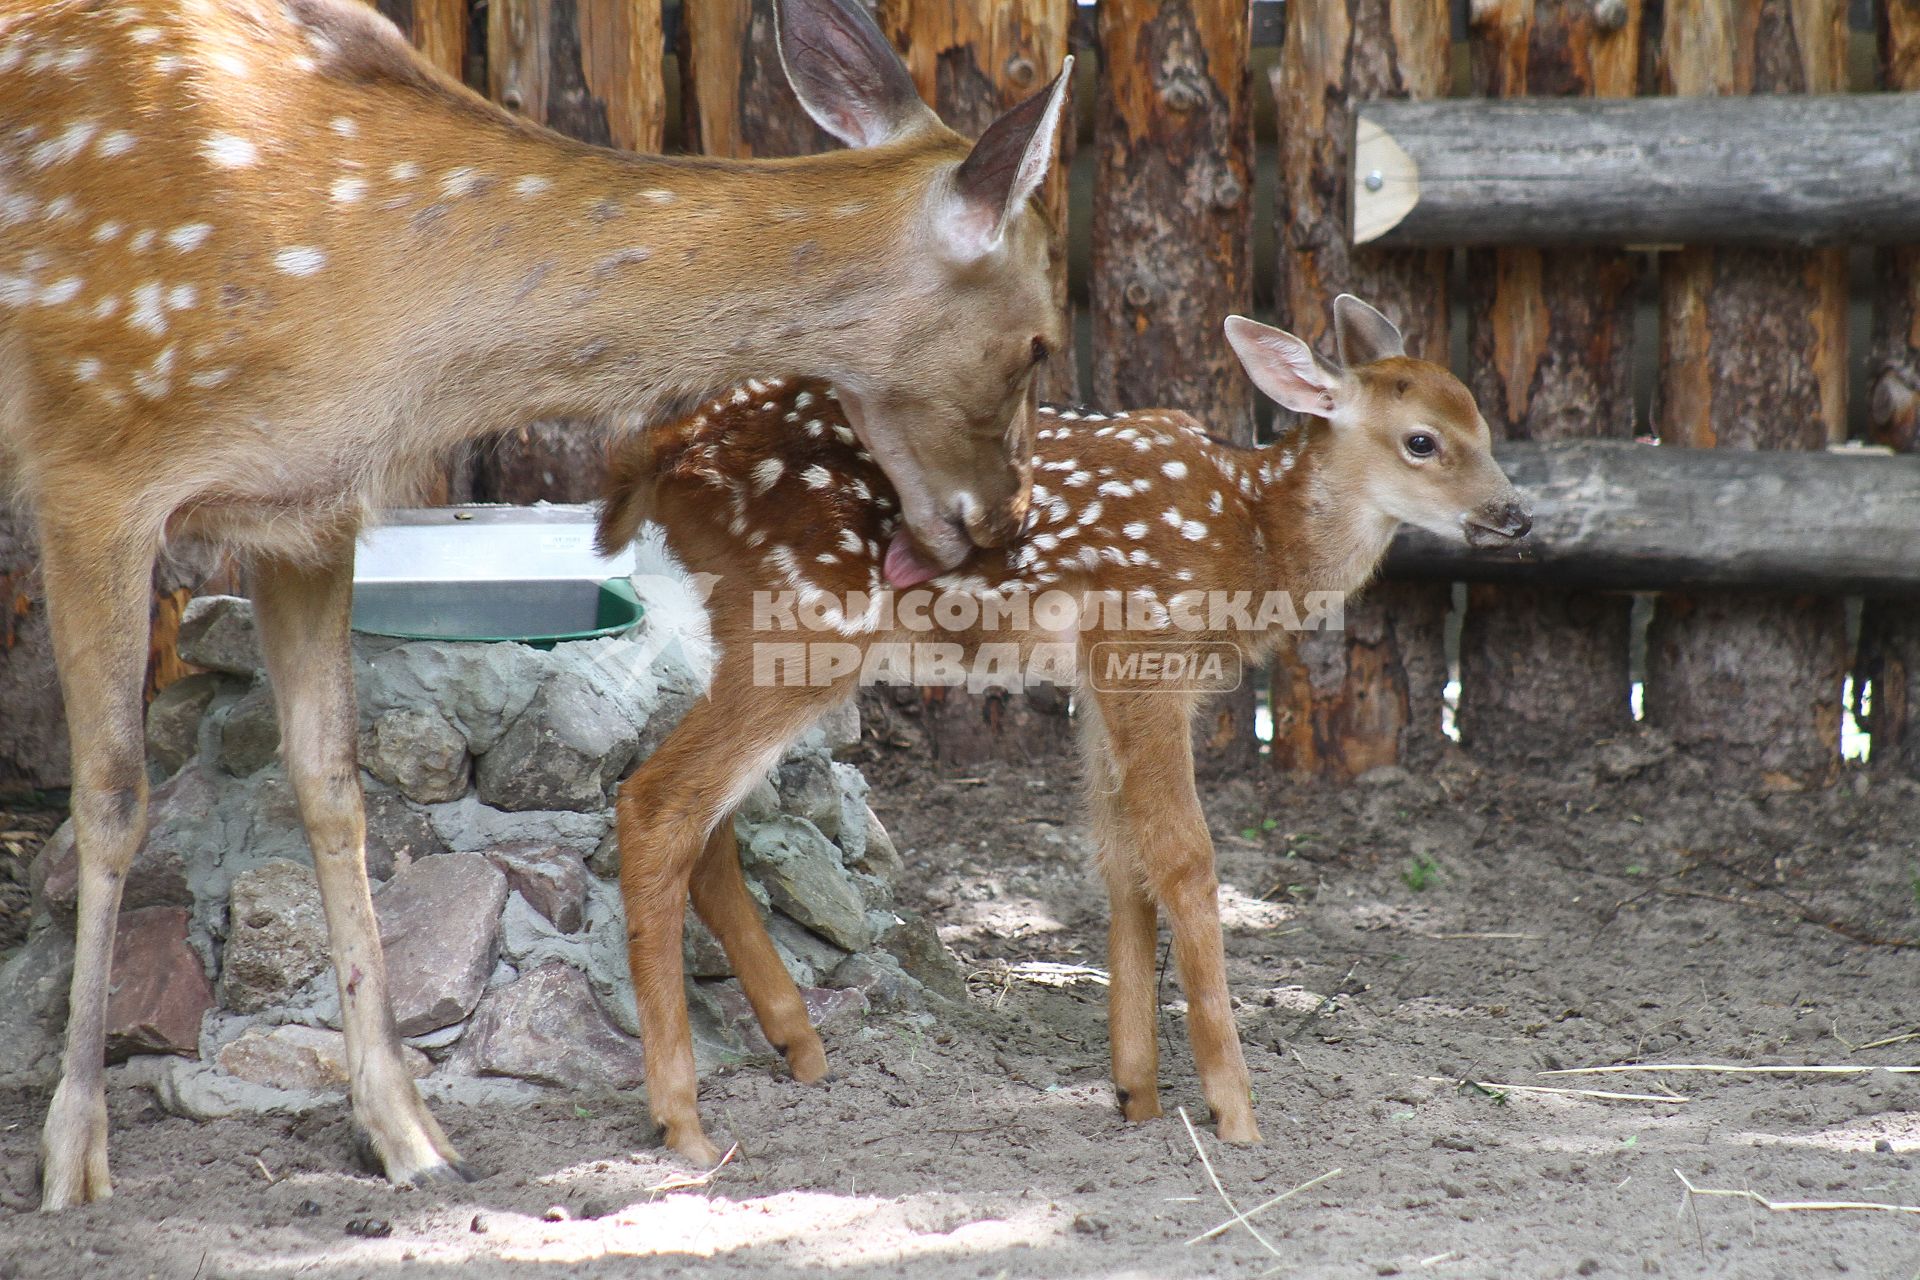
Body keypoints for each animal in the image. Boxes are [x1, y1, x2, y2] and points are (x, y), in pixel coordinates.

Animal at [0, 0, 1075, 1212]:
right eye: (1038, 338)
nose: (1003, 522)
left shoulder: (309, 509)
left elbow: (333, 785)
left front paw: (408, 1133)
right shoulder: (92, 462)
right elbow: (111, 796)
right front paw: (72, 1154)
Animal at [599, 297, 1528, 1159]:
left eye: (1485, 426)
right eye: (1421, 441)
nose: (1515, 516)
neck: (1253, 540)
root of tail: (666, 453)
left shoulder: (1098, 675)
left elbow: (1120, 860)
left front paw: (1136, 1095)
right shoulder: (1144, 646)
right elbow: (1184, 856)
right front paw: (1233, 1112)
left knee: (706, 821)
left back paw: (798, 1046)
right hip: (807, 616)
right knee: (658, 799)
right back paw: (681, 1118)